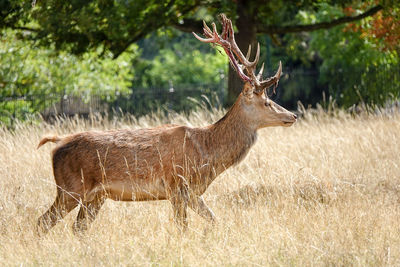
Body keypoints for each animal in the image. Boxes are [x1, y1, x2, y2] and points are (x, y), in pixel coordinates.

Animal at [36, 14, 296, 234]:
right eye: (267, 102)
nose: (292, 115)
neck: (208, 155)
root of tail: (58, 143)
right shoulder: (177, 186)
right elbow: (183, 228)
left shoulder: (193, 192)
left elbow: (215, 220)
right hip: (70, 188)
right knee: (42, 222)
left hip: (95, 196)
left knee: (77, 228)